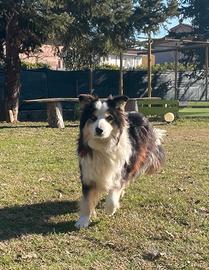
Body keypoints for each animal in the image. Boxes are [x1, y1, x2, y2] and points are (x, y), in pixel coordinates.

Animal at [75, 95, 165, 228]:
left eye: (109, 118)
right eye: (93, 117)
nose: (99, 130)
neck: (104, 145)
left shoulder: (121, 170)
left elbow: (114, 191)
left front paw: (110, 209)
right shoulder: (88, 172)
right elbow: (87, 200)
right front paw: (83, 220)